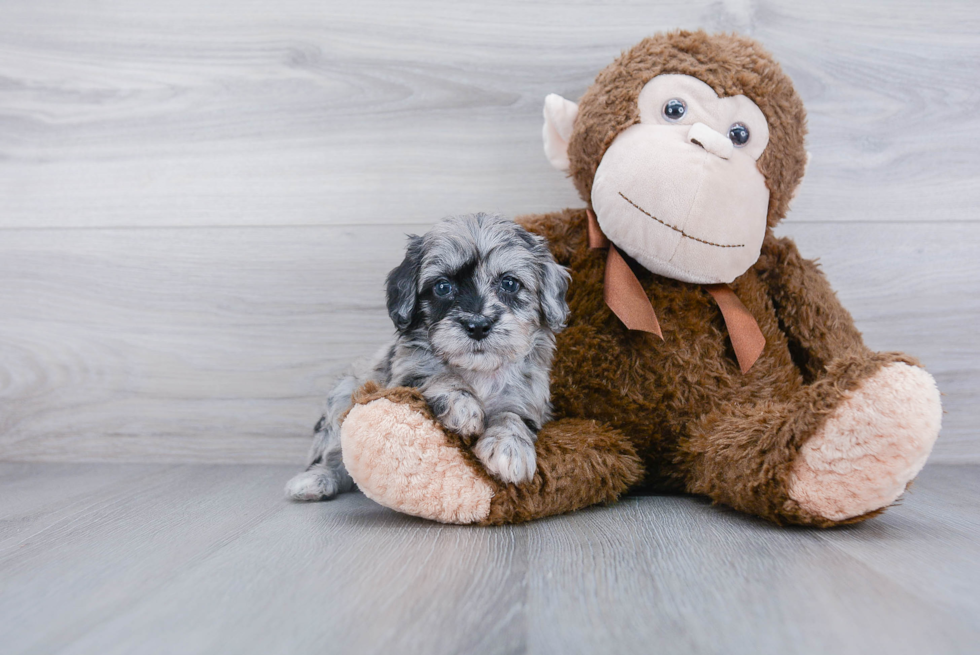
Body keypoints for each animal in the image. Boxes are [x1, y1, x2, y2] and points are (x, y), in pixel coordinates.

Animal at [284, 213, 572, 500]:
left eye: (509, 283)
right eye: (443, 287)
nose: (478, 325)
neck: (477, 371)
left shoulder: (529, 398)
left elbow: (512, 416)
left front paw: (509, 447)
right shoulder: (405, 375)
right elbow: (440, 376)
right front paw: (463, 405)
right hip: (343, 393)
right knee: (335, 454)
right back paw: (315, 479)